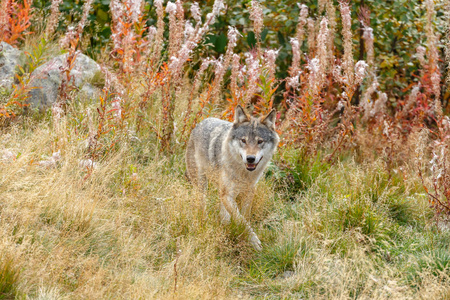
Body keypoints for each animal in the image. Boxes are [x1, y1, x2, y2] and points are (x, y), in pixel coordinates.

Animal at [185, 105, 278, 251]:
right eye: (243, 140)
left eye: (260, 142)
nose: (250, 158)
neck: (243, 173)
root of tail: (201, 122)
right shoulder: (227, 195)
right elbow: (241, 220)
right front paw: (254, 241)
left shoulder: (249, 192)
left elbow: (244, 217)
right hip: (202, 186)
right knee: (202, 206)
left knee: (223, 213)